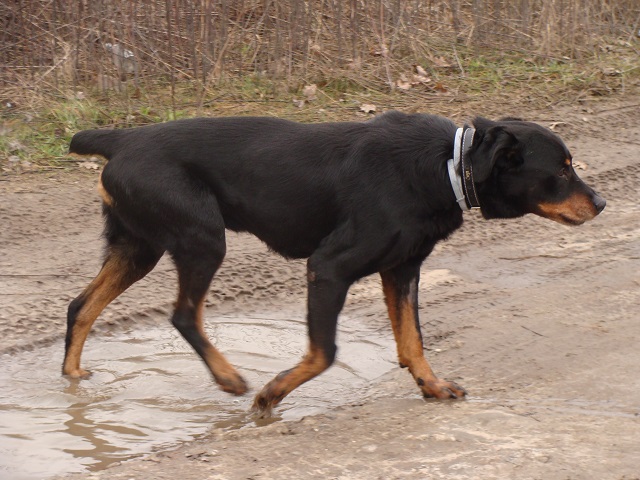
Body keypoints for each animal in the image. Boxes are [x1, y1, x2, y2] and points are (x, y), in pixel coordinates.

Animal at [65, 112, 605, 413]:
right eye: (562, 170)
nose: (601, 202)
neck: (447, 167)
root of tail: (122, 141)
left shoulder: (402, 269)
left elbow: (412, 341)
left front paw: (431, 386)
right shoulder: (329, 267)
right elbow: (323, 353)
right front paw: (271, 395)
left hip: (139, 246)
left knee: (80, 306)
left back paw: (72, 376)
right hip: (201, 239)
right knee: (183, 314)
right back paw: (229, 379)